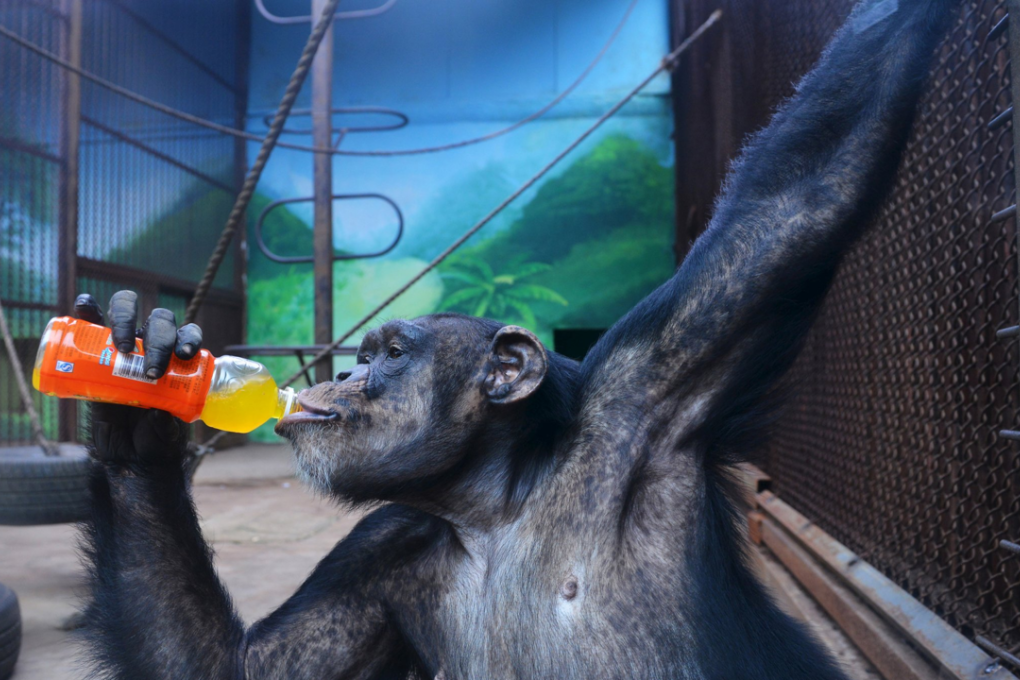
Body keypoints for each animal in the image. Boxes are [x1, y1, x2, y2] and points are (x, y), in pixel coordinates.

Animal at [74, 1, 958, 678]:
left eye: (390, 355)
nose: (347, 380)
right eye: (361, 357)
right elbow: (236, 667)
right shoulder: (379, 546)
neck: (493, 501)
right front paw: (137, 400)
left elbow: (803, 196)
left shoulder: (658, 380)